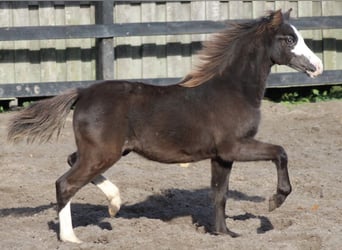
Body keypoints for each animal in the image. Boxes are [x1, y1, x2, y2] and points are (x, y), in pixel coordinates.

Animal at [8, 9, 324, 242]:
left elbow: (219, 194)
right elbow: (280, 152)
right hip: (102, 153)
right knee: (66, 183)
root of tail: (83, 92)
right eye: (288, 40)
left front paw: (224, 233)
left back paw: (114, 202)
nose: (317, 67)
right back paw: (72, 237)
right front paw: (275, 202)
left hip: (103, 151)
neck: (232, 89)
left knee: (72, 162)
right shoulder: (235, 146)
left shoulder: (221, 156)